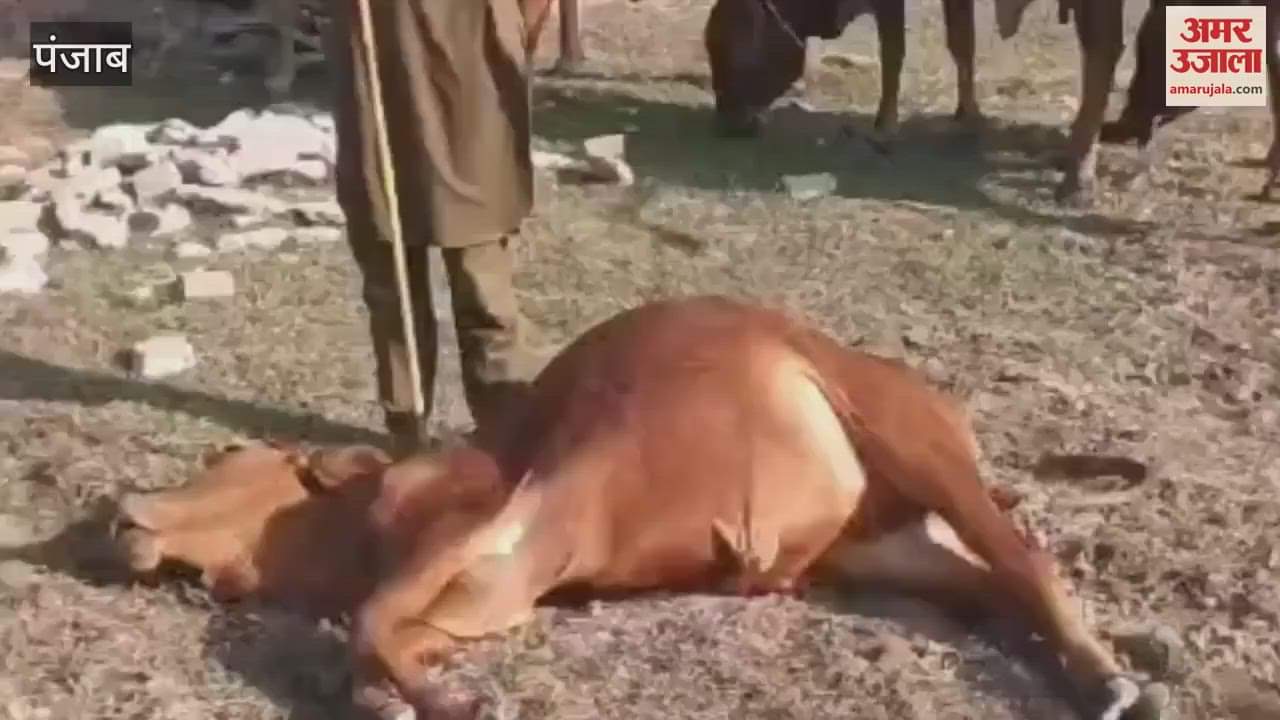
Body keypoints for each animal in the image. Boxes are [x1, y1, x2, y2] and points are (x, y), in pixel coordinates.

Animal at [114, 295, 1168, 720]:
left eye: (227, 453)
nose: (119, 511)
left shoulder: (482, 517)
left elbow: (367, 622)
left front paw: (441, 701)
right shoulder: (497, 592)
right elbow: (380, 636)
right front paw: (411, 690)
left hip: (911, 439)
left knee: (1028, 560)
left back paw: (1110, 679)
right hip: (874, 548)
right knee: (992, 589)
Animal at [704, 0, 982, 138]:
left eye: (736, 54)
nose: (727, 117)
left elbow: (894, 49)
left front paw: (885, 123)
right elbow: (962, 41)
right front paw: (967, 112)